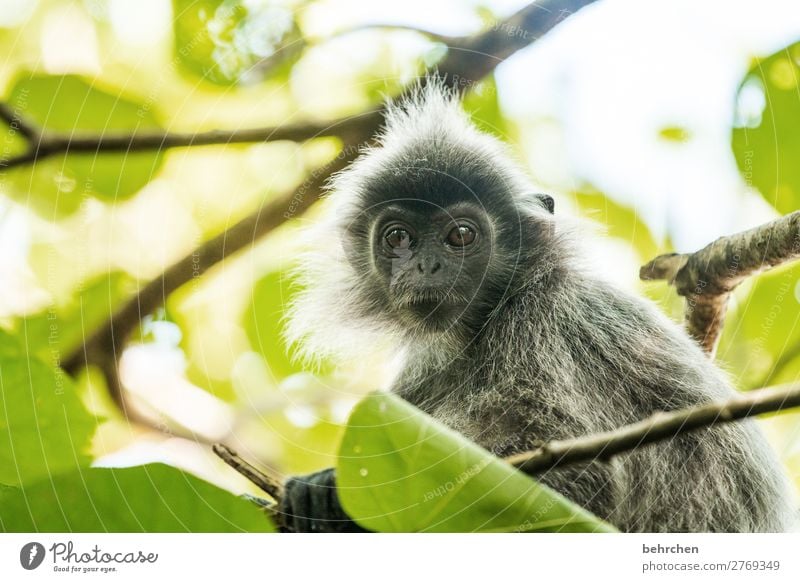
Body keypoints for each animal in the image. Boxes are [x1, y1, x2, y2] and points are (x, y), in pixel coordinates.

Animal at [276, 78, 792, 532]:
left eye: (460, 235)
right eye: (398, 237)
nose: (426, 266)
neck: (485, 323)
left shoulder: (548, 329)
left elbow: (581, 480)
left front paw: (332, 496)